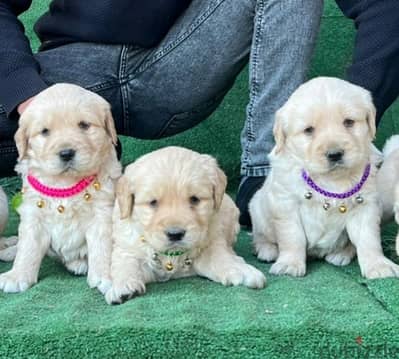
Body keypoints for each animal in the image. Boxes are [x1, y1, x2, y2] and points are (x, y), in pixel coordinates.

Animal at [0, 85, 122, 296]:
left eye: (84, 125)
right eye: (45, 131)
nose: (66, 153)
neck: (64, 182)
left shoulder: (102, 214)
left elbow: (102, 247)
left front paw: (105, 276)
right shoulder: (33, 215)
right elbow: (27, 248)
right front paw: (17, 276)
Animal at [105, 148, 266, 306]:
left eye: (194, 199)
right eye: (153, 202)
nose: (175, 234)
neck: (172, 256)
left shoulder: (212, 244)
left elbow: (222, 258)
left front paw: (243, 270)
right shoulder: (127, 247)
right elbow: (126, 264)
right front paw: (122, 286)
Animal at [250, 77, 399, 280]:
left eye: (349, 122)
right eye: (309, 130)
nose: (335, 154)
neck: (331, 180)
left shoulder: (366, 205)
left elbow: (368, 239)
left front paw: (378, 265)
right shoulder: (286, 204)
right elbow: (292, 236)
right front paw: (290, 264)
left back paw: (341, 253)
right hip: (257, 209)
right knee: (260, 235)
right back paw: (267, 250)